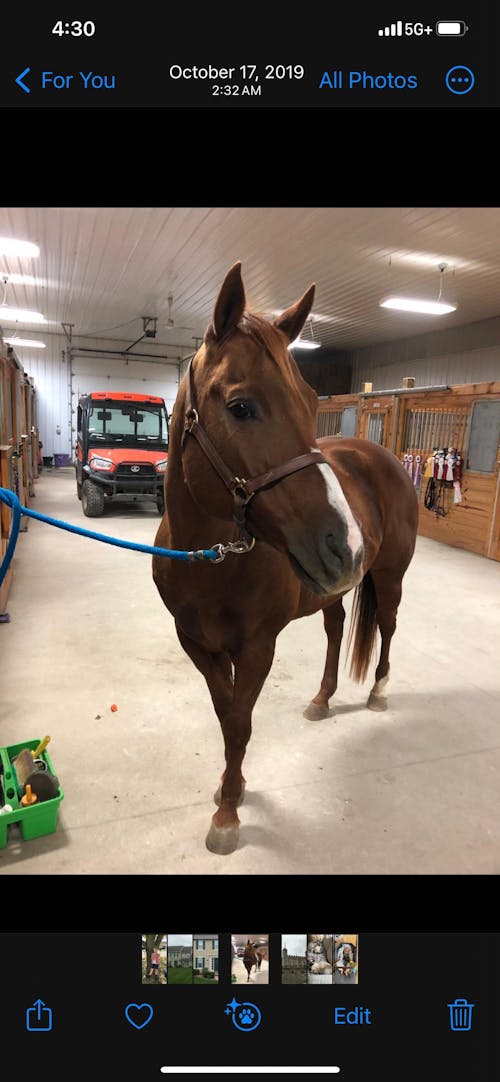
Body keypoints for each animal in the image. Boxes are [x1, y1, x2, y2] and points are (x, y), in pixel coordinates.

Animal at [153, 262, 419, 856]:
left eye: (312, 399)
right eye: (241, 407)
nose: (346, 546)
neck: (212, 562)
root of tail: (382, 455)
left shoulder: (257, 647)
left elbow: (240, 723)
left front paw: (228, 812)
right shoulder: (197, 643)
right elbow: (227, 714)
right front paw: (230, 788)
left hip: (389, 577)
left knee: (388, 627)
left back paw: (378, 691)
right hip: (333, 590)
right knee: (336, 627)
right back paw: (322, 698)